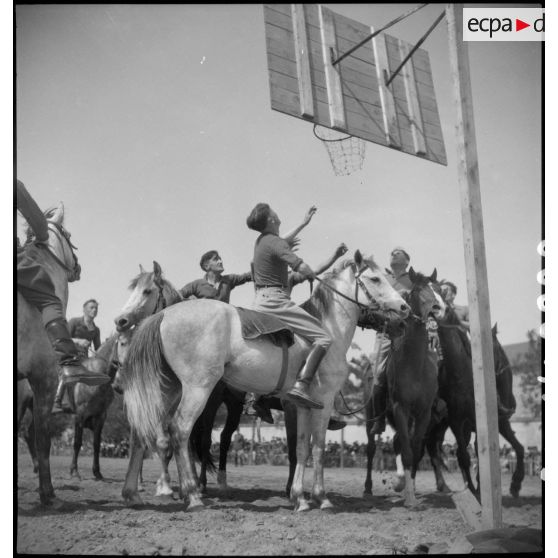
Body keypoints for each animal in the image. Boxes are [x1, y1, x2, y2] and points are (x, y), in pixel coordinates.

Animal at [121, 252, 412, 516]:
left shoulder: (303, 405)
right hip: (198, 390)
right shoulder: (324, 400)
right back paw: (192, 494)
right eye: (375, 278)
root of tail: (163, 316)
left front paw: (300, 498)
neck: (327, 330)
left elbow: (302, 448)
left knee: (144, 433)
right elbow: (318, 447)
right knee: (181, 431)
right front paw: (321, 498)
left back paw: (135, 492)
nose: (404, 310)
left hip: (170, 390)